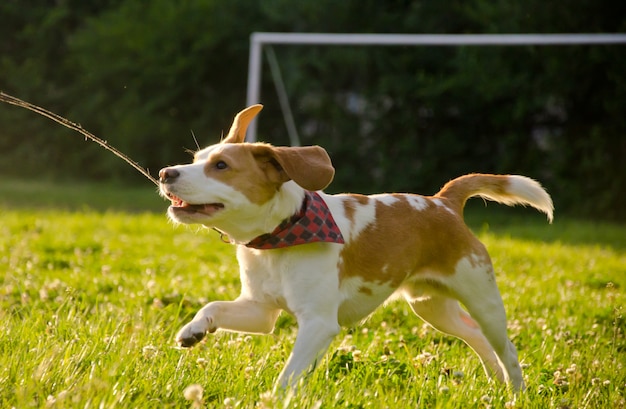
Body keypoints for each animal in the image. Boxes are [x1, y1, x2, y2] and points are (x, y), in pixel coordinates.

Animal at [160, 103, 552, 390]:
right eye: (196, 159)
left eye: (221, 165)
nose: (165, 173)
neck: (277, 241)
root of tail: (444, 202)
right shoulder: (260, 311)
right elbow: (213, 306)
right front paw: (194, 329)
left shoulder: (318, 323)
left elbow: (287, 377)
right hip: (432, 306)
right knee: (476, 336)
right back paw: (496, 382)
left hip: (484, 301)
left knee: (506, 347)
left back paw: (515, 391)